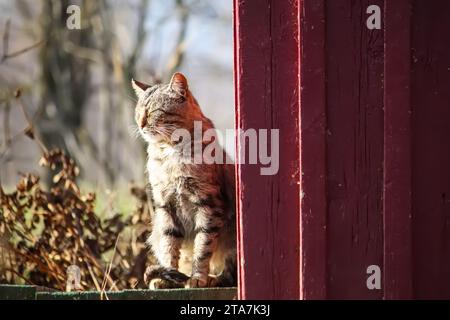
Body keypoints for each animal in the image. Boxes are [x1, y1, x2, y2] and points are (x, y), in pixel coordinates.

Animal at [130, 73, 236, 290]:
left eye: (153, 111)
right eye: (138, 112)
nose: (141, 124)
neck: (169, 153)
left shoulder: (208, 204)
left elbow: (203, 246)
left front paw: (197, 278)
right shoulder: (166, 205)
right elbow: (169, 246)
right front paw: (166, 278)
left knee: (230, 274)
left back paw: (212, 279)